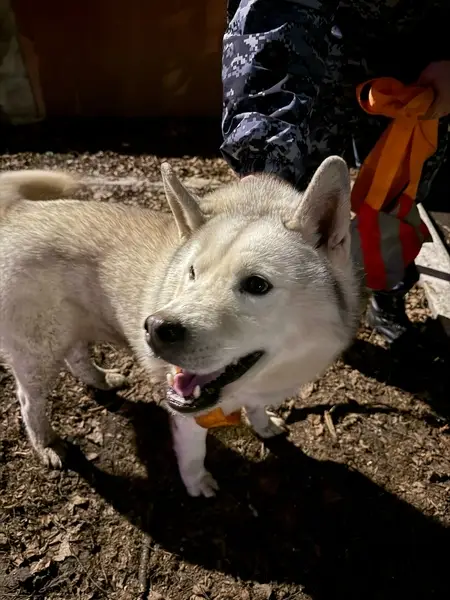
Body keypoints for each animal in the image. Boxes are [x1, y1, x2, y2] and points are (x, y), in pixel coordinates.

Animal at [0, 157, 360, 497]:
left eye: (257, 285)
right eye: (192, 273)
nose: (155, 328)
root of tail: (18, 211)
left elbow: (257, 408)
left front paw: (263, 424)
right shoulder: (188, 416)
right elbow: (193, 453)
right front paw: (197, 484)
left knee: (76, 354)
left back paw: (101, 379)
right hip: (37, 352)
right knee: (29, 402)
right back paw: (47, 443)